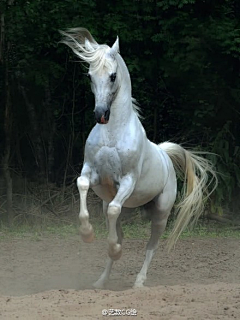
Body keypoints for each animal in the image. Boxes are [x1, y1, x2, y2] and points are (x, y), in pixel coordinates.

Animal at [60, 28, 218, 288]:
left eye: (112, 76)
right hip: (119, 205)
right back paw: (101, 281)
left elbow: (116, 214)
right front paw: (87, 234)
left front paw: (114, 249)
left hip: (161, 214)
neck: (113, 133)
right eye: (90, 75)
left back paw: (139, 282)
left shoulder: (127, 181)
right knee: (118, 228)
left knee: (151, 246)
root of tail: (164, 154)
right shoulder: (91, 172)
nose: (100, 114)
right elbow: (83, 186)